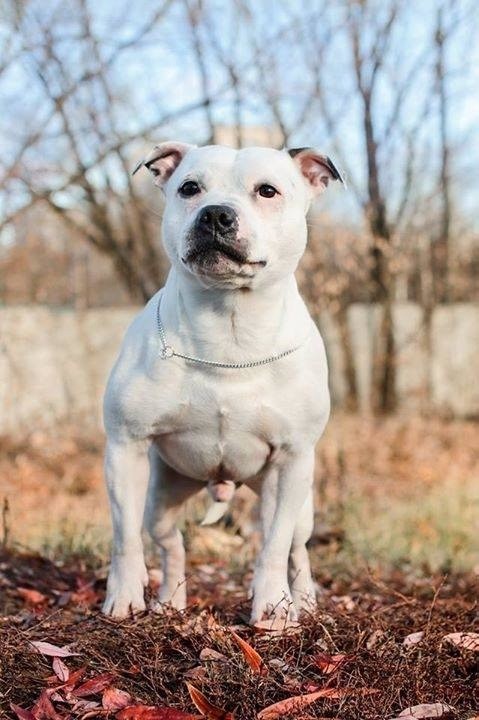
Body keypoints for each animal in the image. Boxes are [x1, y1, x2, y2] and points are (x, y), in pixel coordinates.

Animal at [102, 142, 342, 623]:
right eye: (189, 188)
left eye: (267, 191)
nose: (215, 214)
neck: (229, 332)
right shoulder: (125, 448)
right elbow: (125, 537)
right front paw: (123, 595)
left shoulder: (292, 461)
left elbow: (274, 549)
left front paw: (274, 608)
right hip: (164, 494)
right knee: (170, 542)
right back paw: (170, 601)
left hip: (297, 503)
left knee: (295, 546)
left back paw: (303, 601)